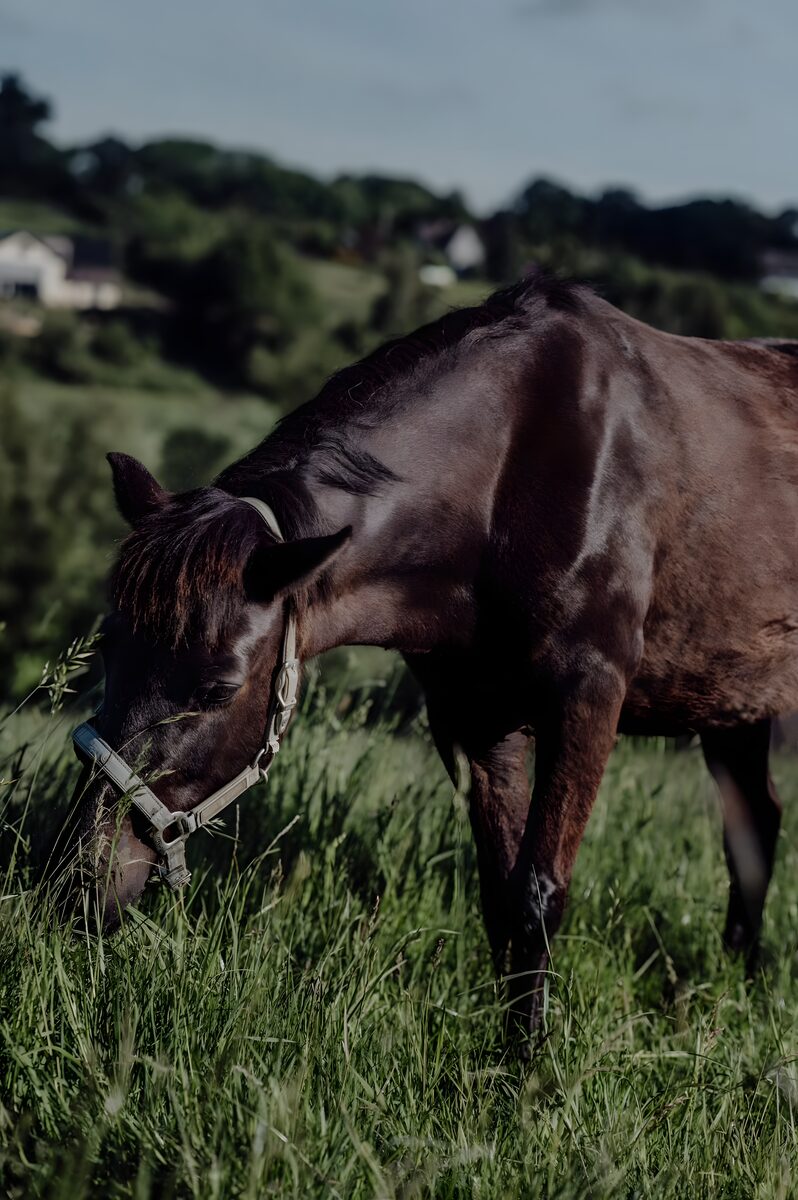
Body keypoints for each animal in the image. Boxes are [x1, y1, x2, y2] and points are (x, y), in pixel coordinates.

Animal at [64, 272, 798, 1045]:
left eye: (217, 689)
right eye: (108, 650)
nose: (77, 884)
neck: (512, 477)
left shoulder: (587, 698)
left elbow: (539, 892)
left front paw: (526, 1066)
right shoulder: (479, 721)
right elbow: (502, 898)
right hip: (732, 701)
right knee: (756, 823)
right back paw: (740, 984)